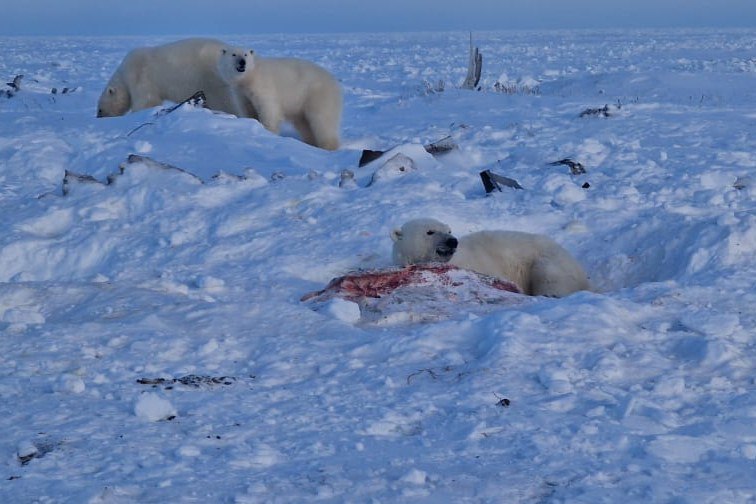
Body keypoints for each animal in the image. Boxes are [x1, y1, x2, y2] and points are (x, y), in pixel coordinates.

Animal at [95, 38, 251, 117]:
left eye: (100, 109)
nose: (99, 117)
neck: (124, 74)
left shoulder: (141, 76)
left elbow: (146, 101)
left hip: (211, 78)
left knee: (225, 101)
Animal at [214, 46, 342, 151]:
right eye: (233, 54)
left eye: (245, 54)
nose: (242, 62)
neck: (249, 78)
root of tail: (333, 82)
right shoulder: (241, 93)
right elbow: (248, 109)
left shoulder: (263, 85)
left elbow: (268, 109)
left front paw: (268, 132)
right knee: (304, 124)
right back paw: (310, 142)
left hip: (317, 95)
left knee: (322, 120)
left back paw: (328, 146)